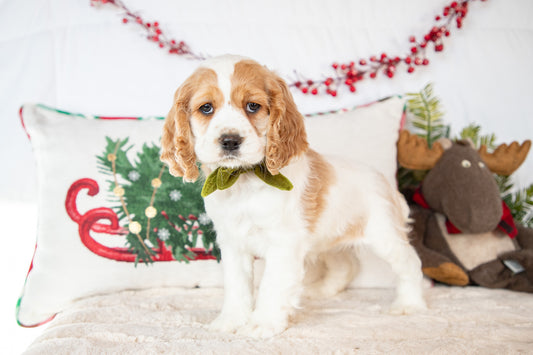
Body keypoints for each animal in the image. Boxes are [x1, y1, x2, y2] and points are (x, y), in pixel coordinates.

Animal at [160, 54, 426, 338]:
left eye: (252, 106)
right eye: (206, 108)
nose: (230, 141)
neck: (245, 181)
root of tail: (385, 181)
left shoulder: (283, 242)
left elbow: (272, 285)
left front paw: (262, 323)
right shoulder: (233, 242)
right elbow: (237, 286)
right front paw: (231, 320)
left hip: (383, 235)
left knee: (410, 263)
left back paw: (409, 304)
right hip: (329, 238)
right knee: (346, 265)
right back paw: (321, 291)